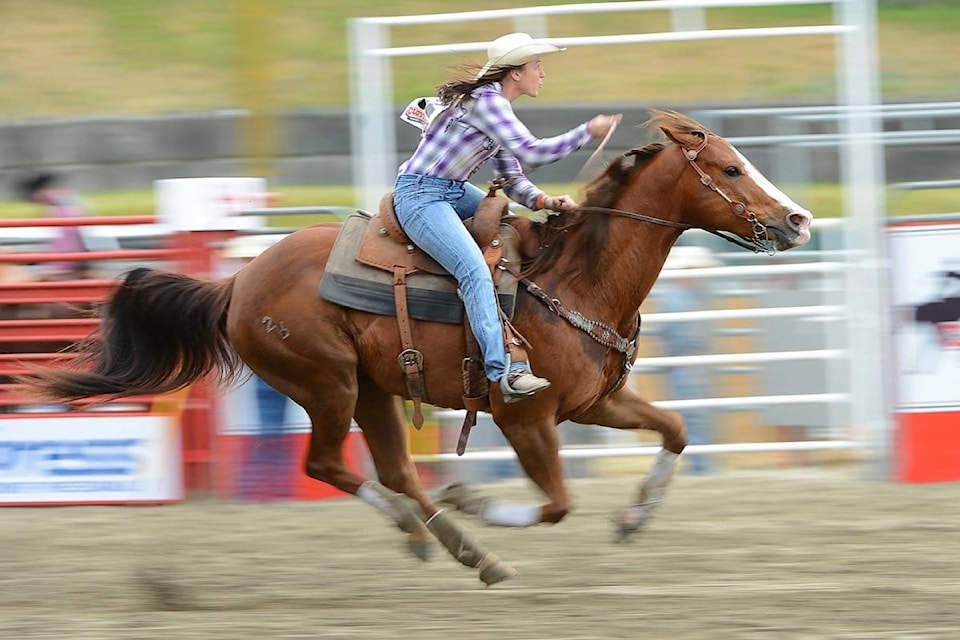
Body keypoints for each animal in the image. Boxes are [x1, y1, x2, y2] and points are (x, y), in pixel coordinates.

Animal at [18, 110, 808, 584]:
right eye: (731, 169)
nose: (798, 219)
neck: (574, 279)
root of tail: (238, 282)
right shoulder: (526, 417)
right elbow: (556, 504)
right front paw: (479, 499)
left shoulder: (595, 404)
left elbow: (673, 430)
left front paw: (635, 516)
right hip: (329, 385)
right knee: (330, 464)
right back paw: (454, 536)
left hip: (371, 390)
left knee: (394, 470)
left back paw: (453, 544)